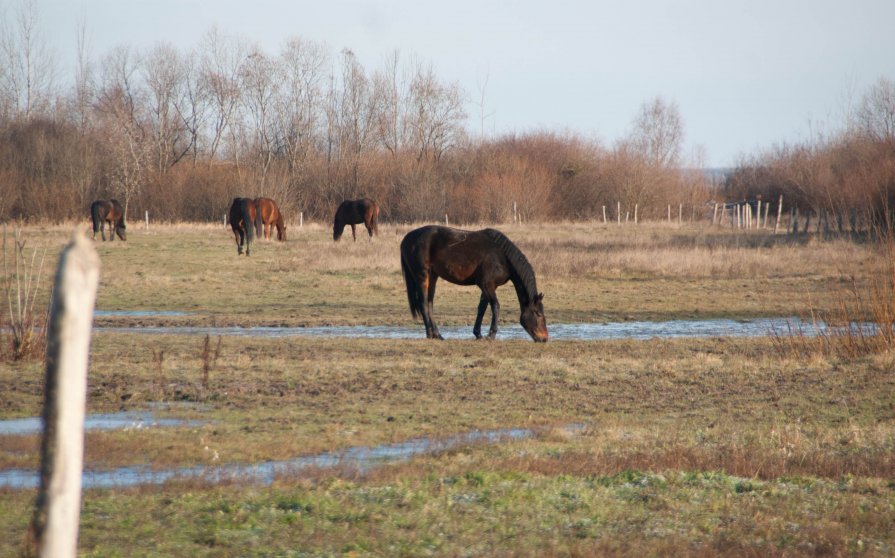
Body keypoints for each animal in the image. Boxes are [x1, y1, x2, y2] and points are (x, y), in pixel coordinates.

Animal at [400, 226, 544, 342]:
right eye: (538, 313)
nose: (544, 338)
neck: (502, 256)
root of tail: (406, 239)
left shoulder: (489, 286)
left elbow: (482, 308)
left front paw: (478, 334)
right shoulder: (486, 284)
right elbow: (495, 306)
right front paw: (491, 335)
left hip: (433, 276)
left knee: (429, 304)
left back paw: (438, 334)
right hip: (422, 276)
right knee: (423, 303)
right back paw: (430, 334)